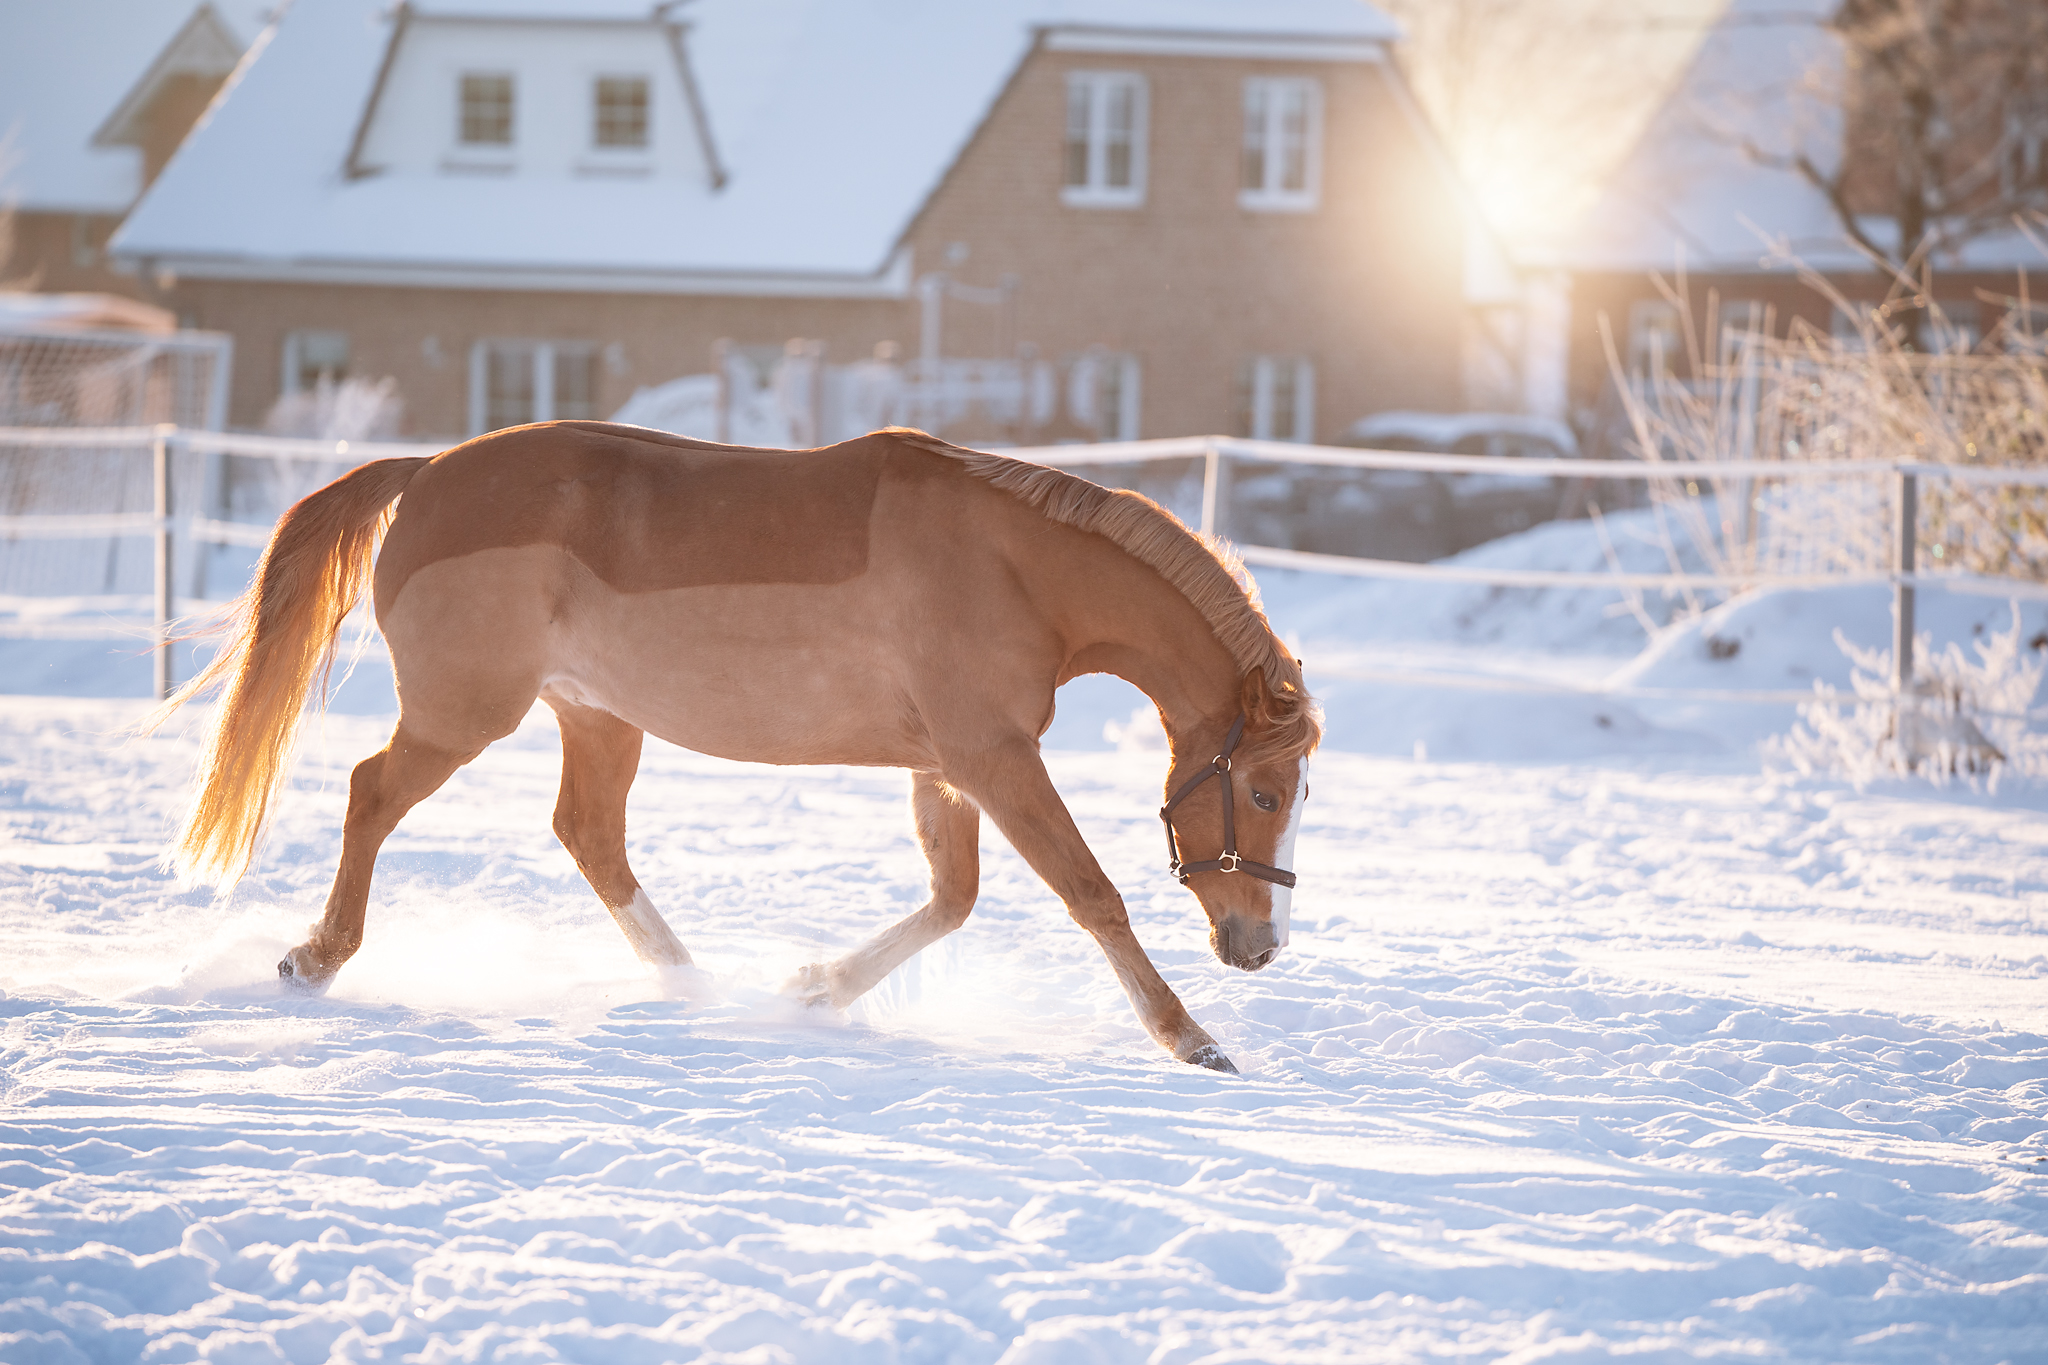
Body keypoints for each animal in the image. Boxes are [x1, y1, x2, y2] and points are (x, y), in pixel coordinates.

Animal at [151, 421, 1318, 1072]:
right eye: (1265, 794)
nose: (1259, 946)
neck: (1014, 569)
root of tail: (427, 470)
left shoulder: (947, 767)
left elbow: (952, 900)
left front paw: (810, 990)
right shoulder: (992, 758)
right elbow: (1091, 894)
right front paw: (1195, 1040)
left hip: (597, 716)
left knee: (590, 837)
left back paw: (696, 989)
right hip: (465, 714)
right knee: (369, 795)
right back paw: (313, 957)